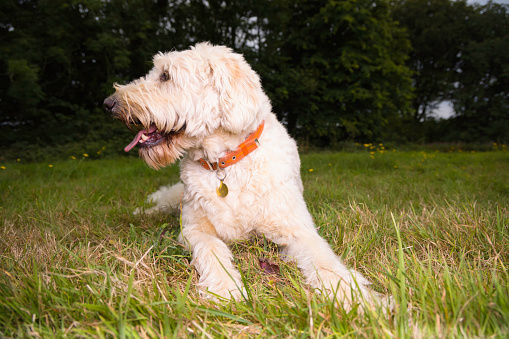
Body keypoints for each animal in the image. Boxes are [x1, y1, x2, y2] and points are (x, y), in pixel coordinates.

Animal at [103, 41, 380, 310]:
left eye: (165, 76)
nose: (108, 103)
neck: (224, 164)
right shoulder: (193, 229)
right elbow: (213, 248)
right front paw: (225, 289)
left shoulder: (298, 230)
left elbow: (325, 262)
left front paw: (356, 298)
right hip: (173, 201)